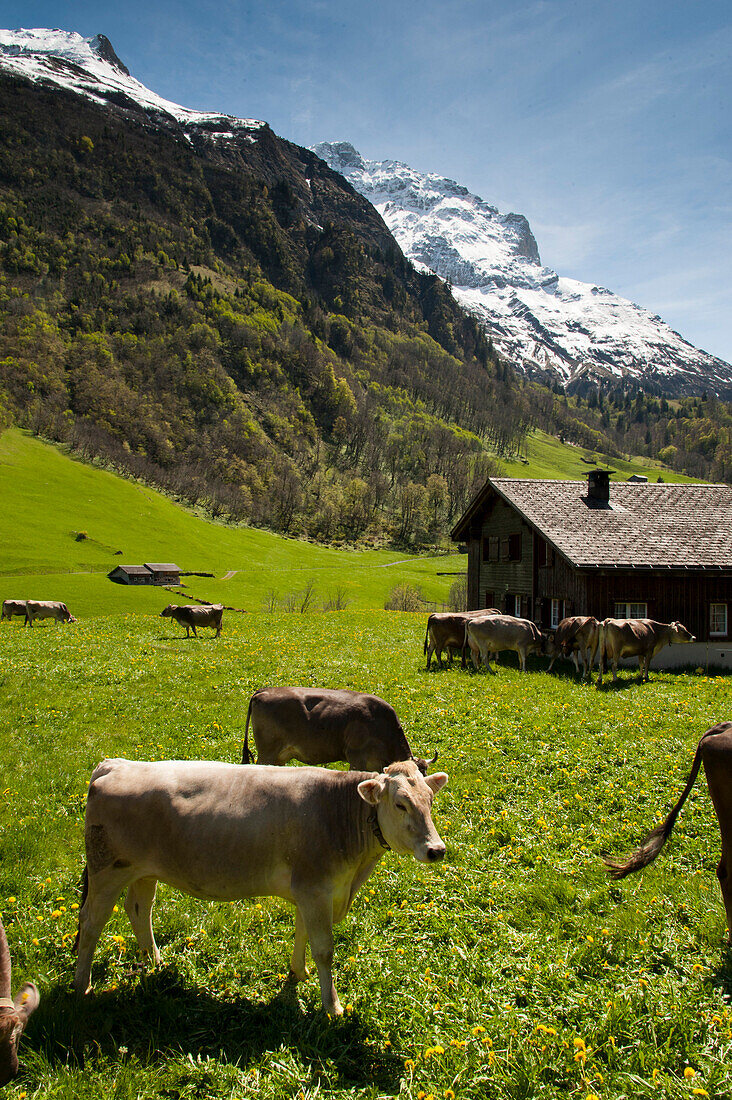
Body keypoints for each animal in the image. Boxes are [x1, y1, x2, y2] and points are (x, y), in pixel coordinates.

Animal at [77, 756, 449, 1012]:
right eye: (400, 804)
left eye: (430, 801)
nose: (436, 850)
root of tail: (114, 765)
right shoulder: (315, 888)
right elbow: (324, 949)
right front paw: (332, 1006)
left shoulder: (311, 890)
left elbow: (302, 934)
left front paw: (299, 973)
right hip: (106, 871)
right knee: (91, 924)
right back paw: (83, 986)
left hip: (143, 871)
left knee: (139, 910)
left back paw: (155, 961)